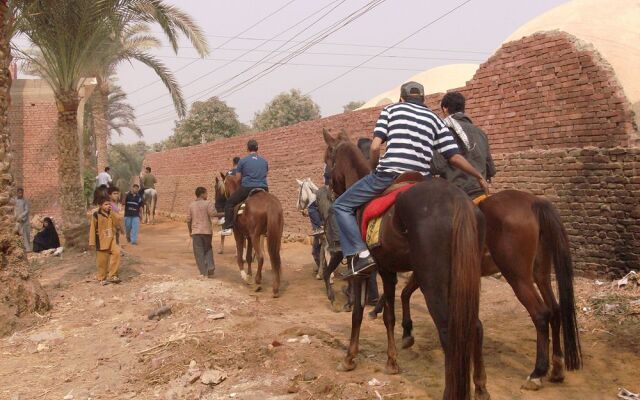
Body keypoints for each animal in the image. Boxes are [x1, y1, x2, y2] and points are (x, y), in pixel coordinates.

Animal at [322, 129, 488, 400]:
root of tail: (457, 200)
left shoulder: (362, 271)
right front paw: (392, 362)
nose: (329, 190)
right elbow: (389, 316)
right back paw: (481, 387)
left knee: (448, 332)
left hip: (435, 282)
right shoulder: (387, 271)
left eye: (328, 160)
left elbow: (357, 314)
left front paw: (349, 358)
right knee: (474, 326)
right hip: (463, 278)